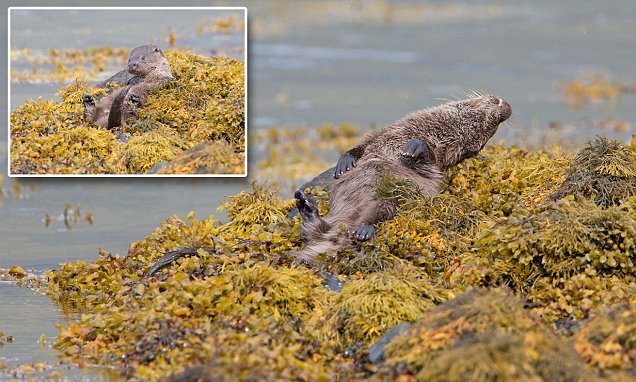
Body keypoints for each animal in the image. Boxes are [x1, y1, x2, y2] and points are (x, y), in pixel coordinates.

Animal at [294, 94, 512, 264]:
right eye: (486, 123)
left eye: (484, 132)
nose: (506, 110)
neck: (429, 130)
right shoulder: (386, 131)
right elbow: (363, 144)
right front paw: (345, 163)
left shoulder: (437, 155)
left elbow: (429, 158)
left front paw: (415, 147)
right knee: (315, 231)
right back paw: (307, 207)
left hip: (391, 199)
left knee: (377, 214)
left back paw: (363, 231)